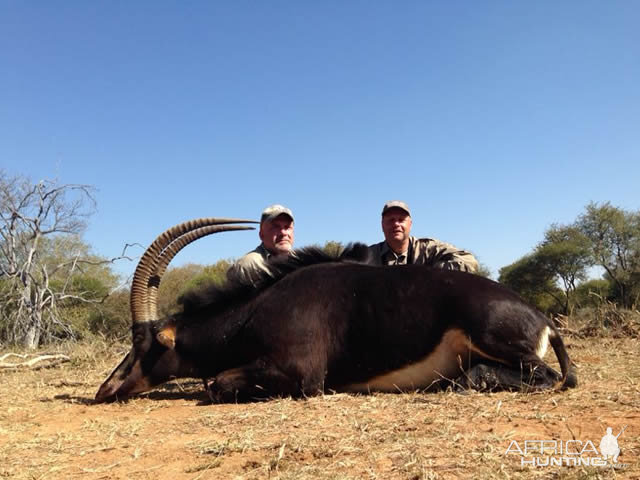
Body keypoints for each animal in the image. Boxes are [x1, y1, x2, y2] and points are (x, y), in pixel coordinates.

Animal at [94, 218, 576, 402]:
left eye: (145, 343)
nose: (105, 390)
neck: (257, 309)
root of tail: (542, 320)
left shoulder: (303, 374)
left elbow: (215, 383)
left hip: (493, 338)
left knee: (548, 377)